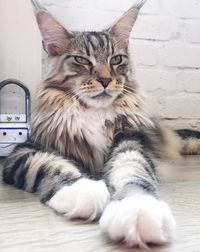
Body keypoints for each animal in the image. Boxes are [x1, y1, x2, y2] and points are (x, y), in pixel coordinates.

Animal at [1, 0, 200, 248]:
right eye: (81, 60)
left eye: (116, 59)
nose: (105, 80)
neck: (93, 113)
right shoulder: (24, 150)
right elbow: (47, 166)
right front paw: (82, 190)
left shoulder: (130, 140)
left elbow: (134, 171)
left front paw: (137, 211)